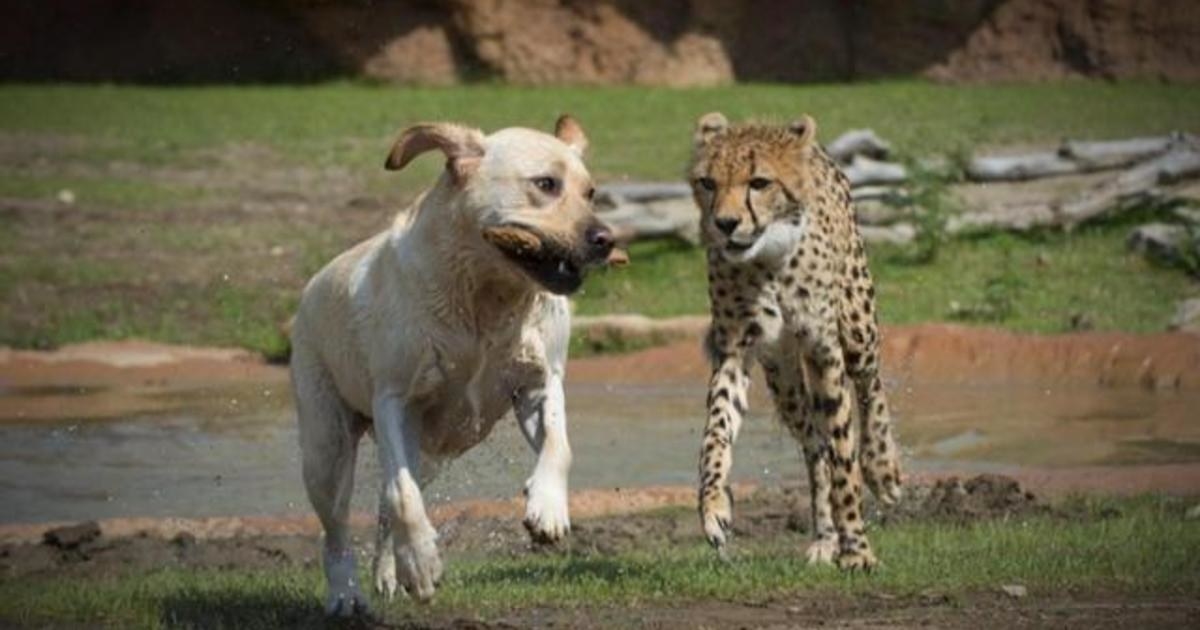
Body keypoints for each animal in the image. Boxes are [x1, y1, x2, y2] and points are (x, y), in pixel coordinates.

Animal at [286, 115, 614, 612]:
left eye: (590, 191)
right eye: (545, 184)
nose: (606, 240)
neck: (486, 299)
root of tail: (309, 288)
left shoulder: (539, 383)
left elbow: (560, 444)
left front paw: (548, 507)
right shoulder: (395, 399)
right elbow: (403, 496)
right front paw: (422, 565)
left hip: (430, 452)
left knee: (385, 505)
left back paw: (388, 574)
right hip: (327, 443)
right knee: (340, 525)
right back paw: (346, 594)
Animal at [686, 112, 902, 568]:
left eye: (759, 182)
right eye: (708, 182)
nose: (724, 224)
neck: (768, 256)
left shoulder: (824, 350)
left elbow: (845, 456)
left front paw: (858, 550)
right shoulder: (735, 349)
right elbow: (716, 432)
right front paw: (713, 507)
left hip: (856, 324)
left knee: (869, 385)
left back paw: (883, 469)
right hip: (783, 379)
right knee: (814, 444)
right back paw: (824, 537)